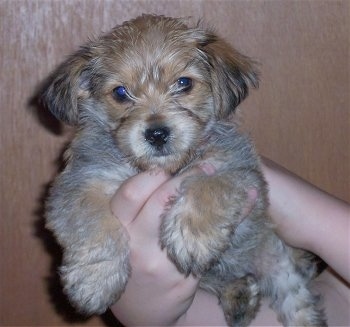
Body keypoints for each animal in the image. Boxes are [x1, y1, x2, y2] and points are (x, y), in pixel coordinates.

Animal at [42, 15, 326, 327]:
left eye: (184, 83)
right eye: (120, 93)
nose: (156, 134)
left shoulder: (234, 168)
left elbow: (207, 188)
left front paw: (193, 237)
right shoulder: (82, 182)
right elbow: (92, 224)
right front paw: (94, 281)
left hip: (276, 261)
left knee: (295, 299)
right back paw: (240, 295)